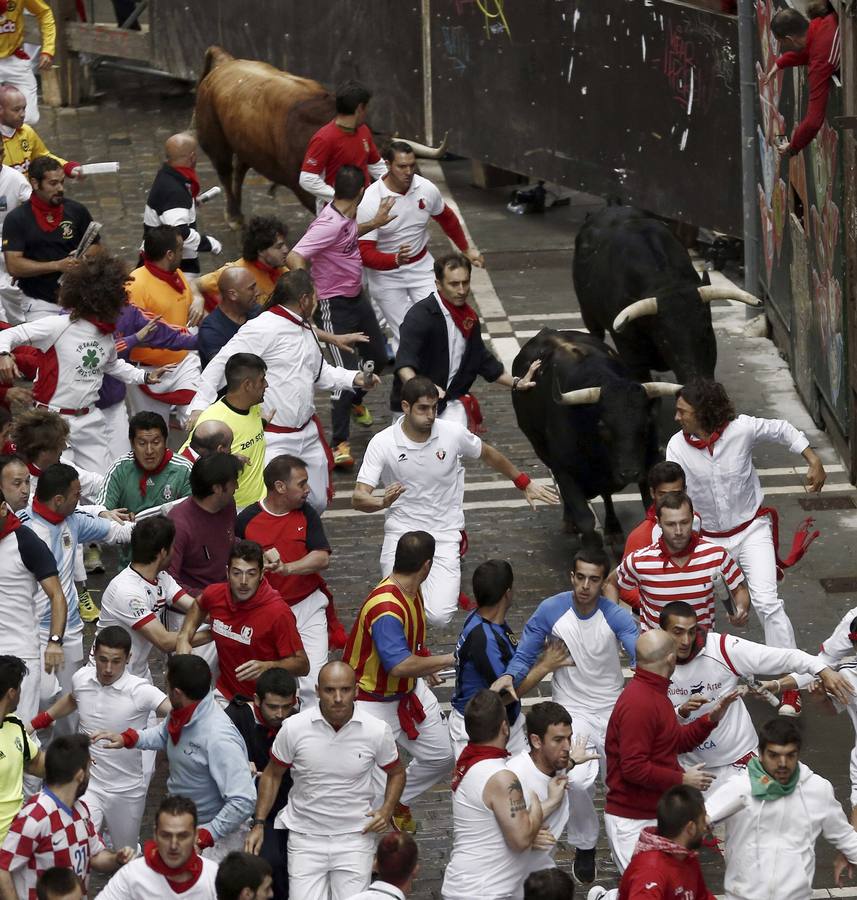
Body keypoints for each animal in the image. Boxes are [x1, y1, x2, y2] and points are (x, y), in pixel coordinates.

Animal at [512, 326, 664, 544]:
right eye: (602, 425)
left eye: (645, 425)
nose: (629, 473)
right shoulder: (563, 469)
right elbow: (585, 518)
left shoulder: (650, 461)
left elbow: (649, 504)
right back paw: (570, 522)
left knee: (606, 495)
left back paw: (613, 529)